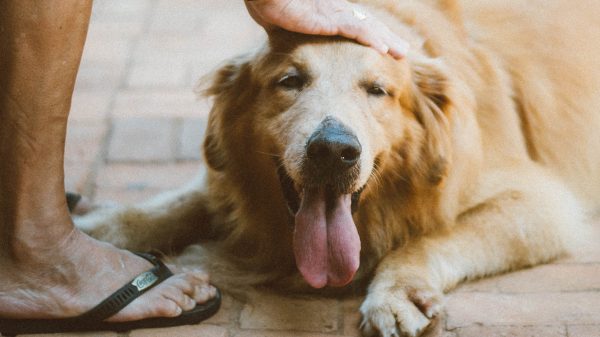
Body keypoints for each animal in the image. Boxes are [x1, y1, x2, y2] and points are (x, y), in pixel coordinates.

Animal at [76, 1, 600, 334]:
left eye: (378, 90)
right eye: (290, 81)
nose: (333, 151)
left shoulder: (540, 202)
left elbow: (431, 237)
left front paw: (396, 291)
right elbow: (175, 205)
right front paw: (98, 229)